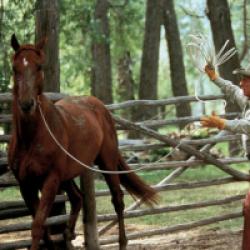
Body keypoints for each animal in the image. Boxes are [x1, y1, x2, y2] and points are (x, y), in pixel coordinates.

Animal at [8, 34, 158, 250]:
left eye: (39, 66)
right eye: (14, 68)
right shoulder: (25, 185)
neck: (32, 137)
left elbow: (37, 226)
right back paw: (69, 232)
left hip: (107, 162)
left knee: (117, 200)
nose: (27, 104)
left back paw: (122, 242)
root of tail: (99, 105)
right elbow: (42, 227)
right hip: (68, 174)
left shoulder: (51, 180)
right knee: (77, 198)